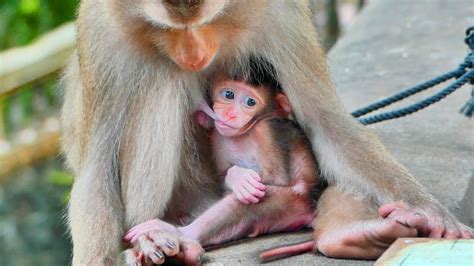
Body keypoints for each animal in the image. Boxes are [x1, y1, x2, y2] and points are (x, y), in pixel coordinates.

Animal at [62, 0, 470, 264]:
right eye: (169, 29)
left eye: (208, 21)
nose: (194, 55)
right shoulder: (100, 31)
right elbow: (96, 166)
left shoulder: (281, 10)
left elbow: (324, 120)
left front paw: (432, 213)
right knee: (164, 79)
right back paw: (159, 240)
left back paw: (357, 235)